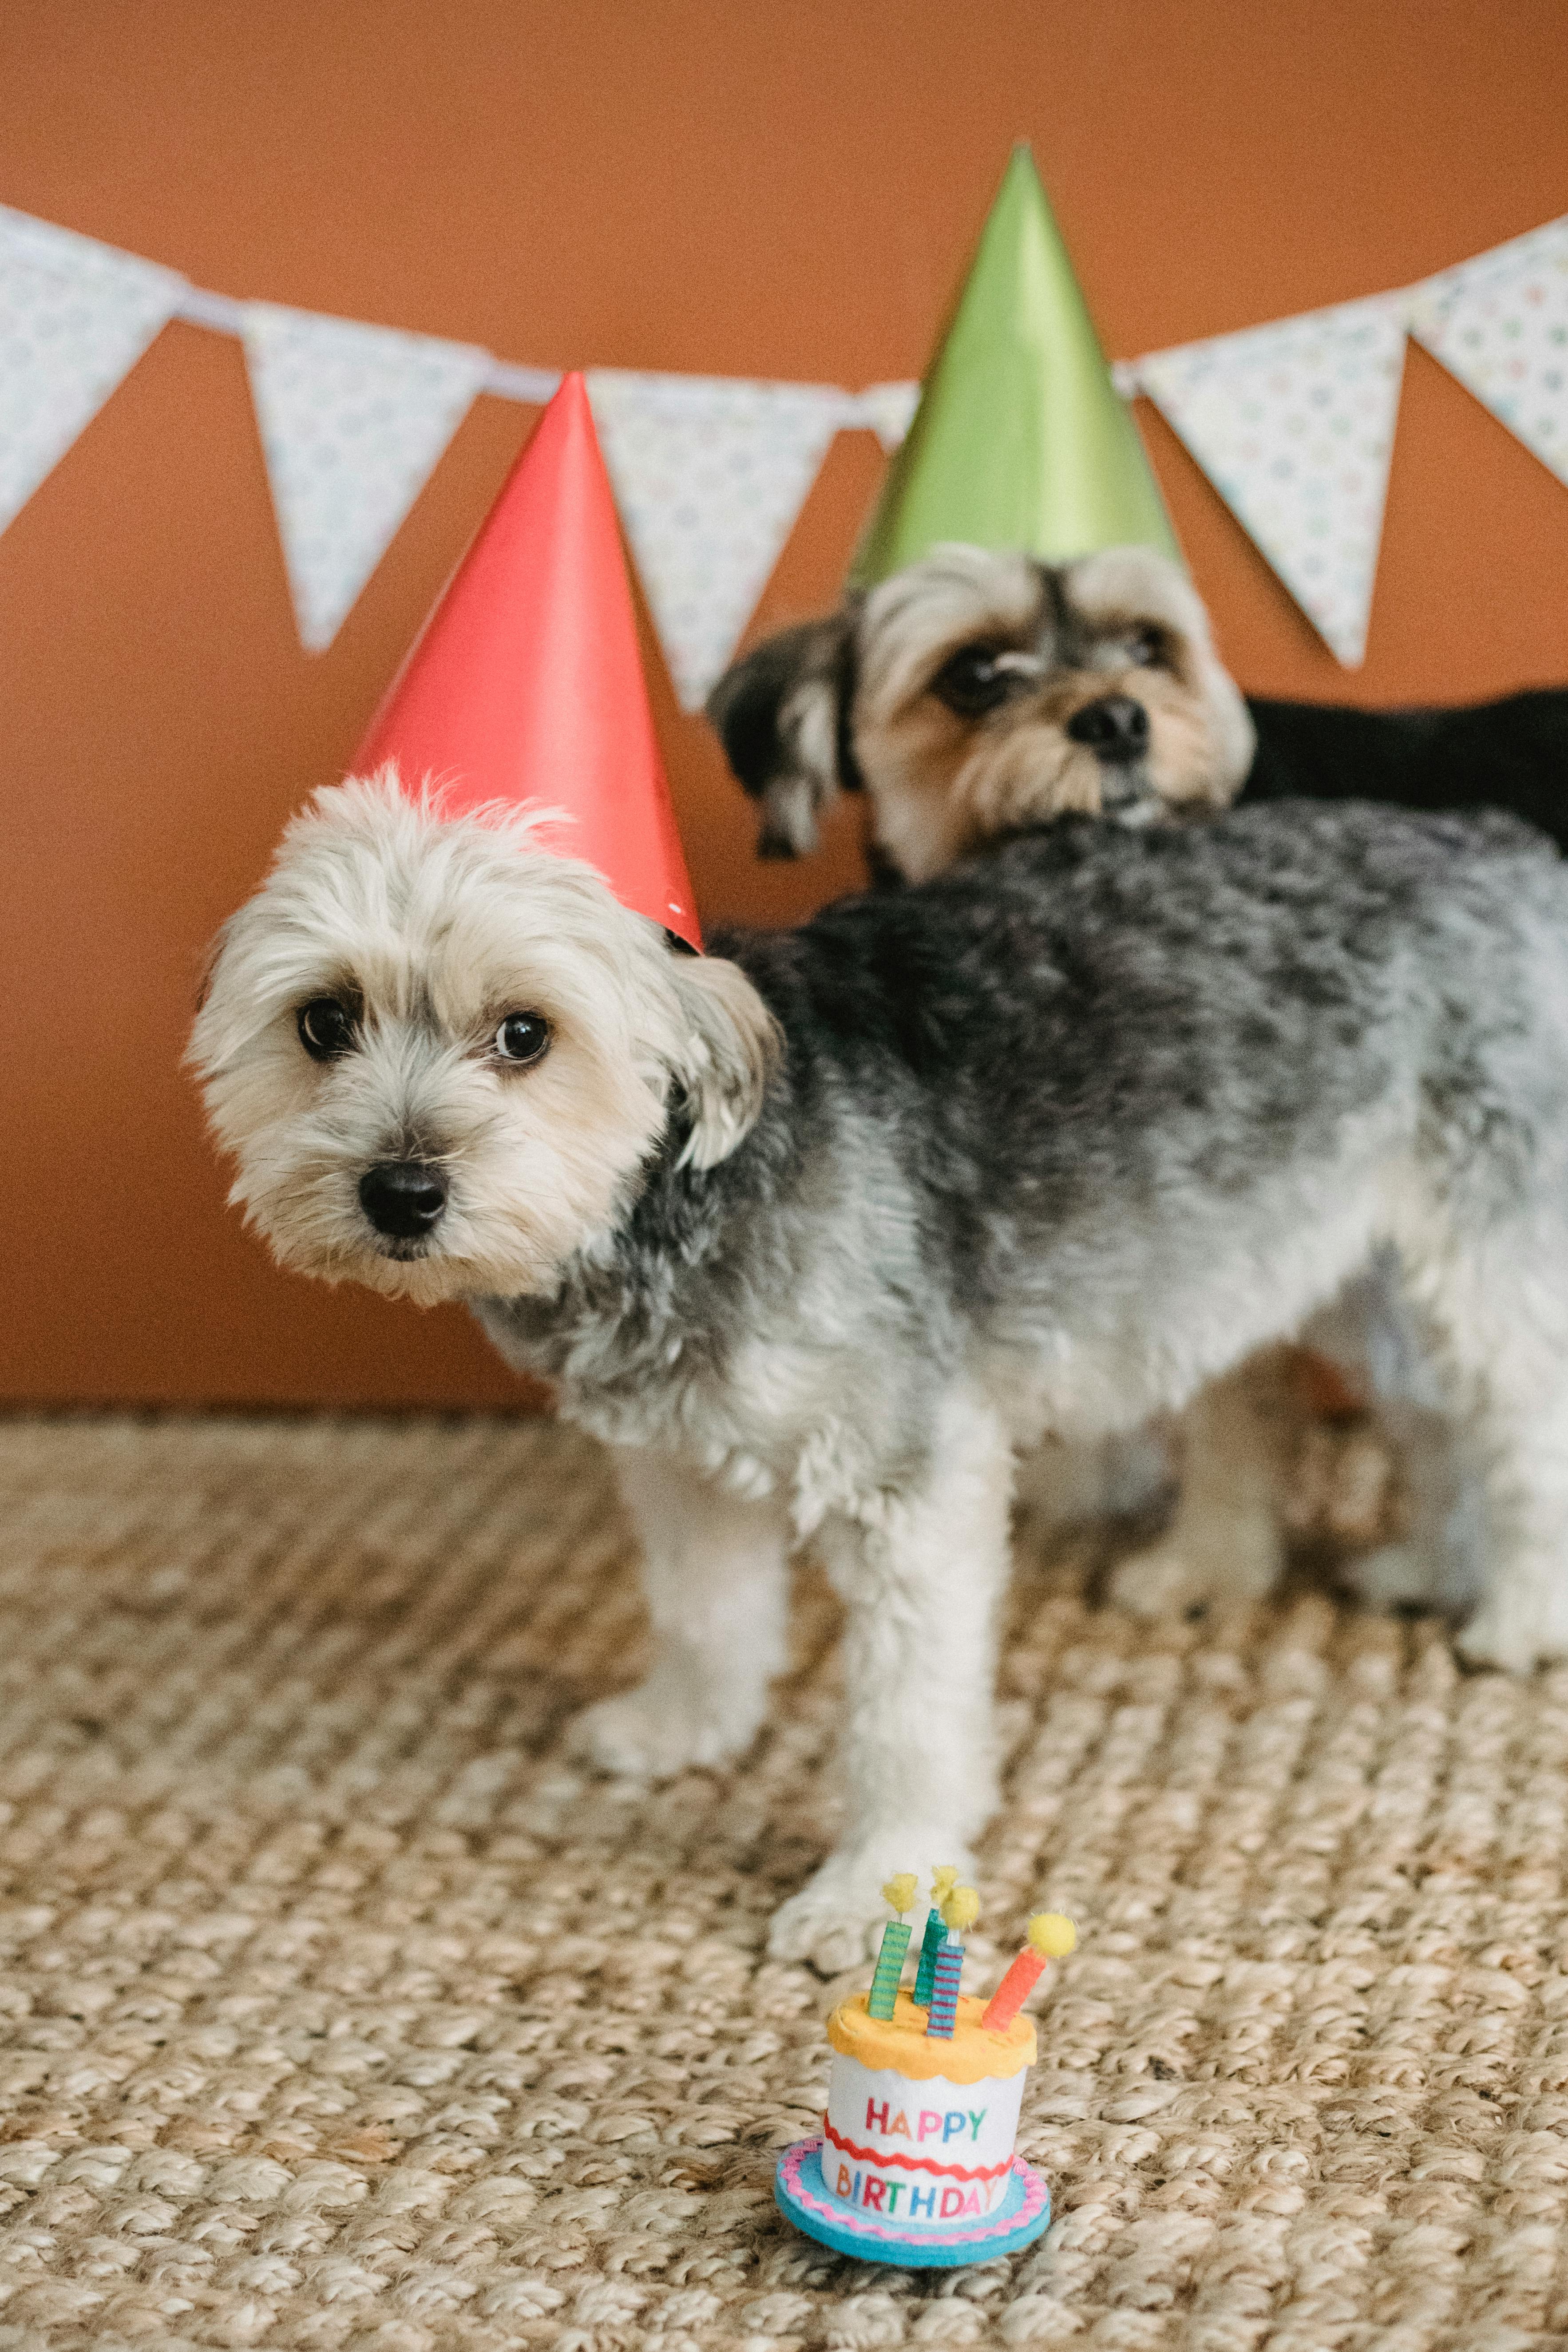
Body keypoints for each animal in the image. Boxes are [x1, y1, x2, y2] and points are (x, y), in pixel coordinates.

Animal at [193, 776, 1568, 1966]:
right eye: (324, 1019)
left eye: (525, 1033)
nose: (400, 1190)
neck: (672, 1193)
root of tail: (1511, 847)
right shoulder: (679, 1455)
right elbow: (707, 1609)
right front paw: (689, 1725)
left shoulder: (906, 1484)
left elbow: (904, 1719)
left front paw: (875, 1891)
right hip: (1337, 1258)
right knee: (1418, 1407)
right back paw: (1405, 1562)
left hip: (1482, 1246)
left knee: (1522, 1420)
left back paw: (1520, 1614)